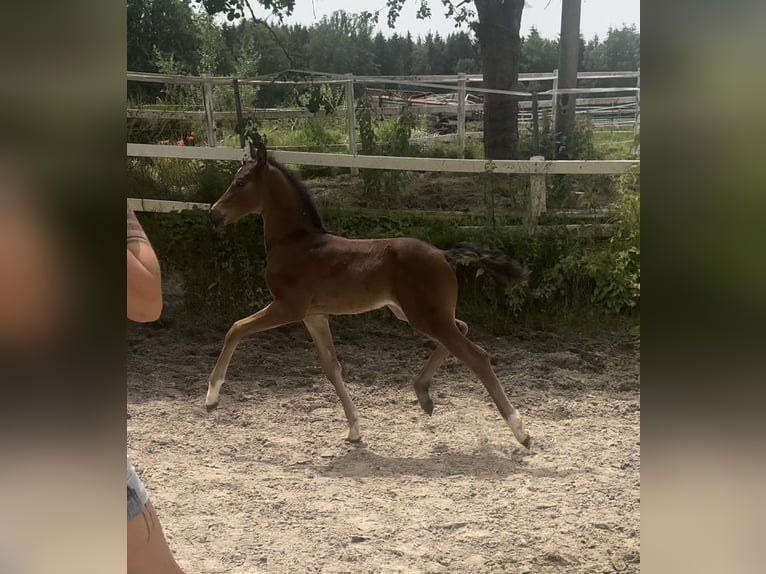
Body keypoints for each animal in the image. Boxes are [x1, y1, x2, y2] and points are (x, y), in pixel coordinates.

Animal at [207, 143, 536, 450]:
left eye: (240, 182)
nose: (213, 214)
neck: (297, 243)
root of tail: (444, 254)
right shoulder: (314, 315)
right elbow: (331, 366)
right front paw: (354, 430)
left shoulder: (288, 307)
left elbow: (236, 328)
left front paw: (211, 397)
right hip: (418, 313)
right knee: (463, 328)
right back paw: (423, 392)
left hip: (424, 316)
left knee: (476, 355)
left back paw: (522, 432)